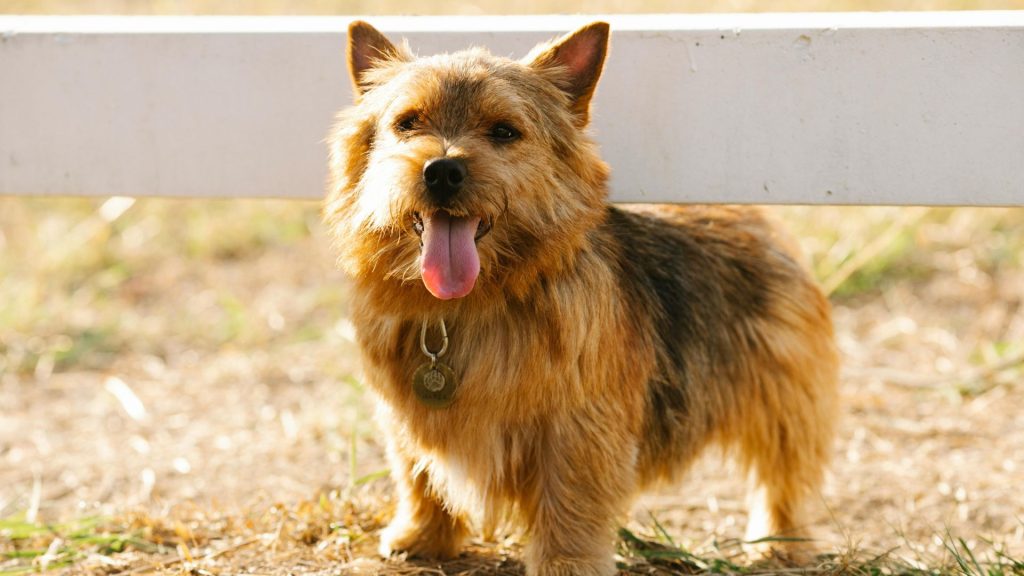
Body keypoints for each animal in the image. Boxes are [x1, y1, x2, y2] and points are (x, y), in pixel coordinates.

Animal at [321, 21, 839, 573]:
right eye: (407, 122)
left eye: (504, 131)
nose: (441, 170)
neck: (467, 304)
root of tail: (747, 212)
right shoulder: (405, 414)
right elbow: (417, 474)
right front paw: (422, 535)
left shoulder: (578, 425)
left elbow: (569, 498)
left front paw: (566, 563)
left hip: (780, 391)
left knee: (784, 469)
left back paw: (781, 540)